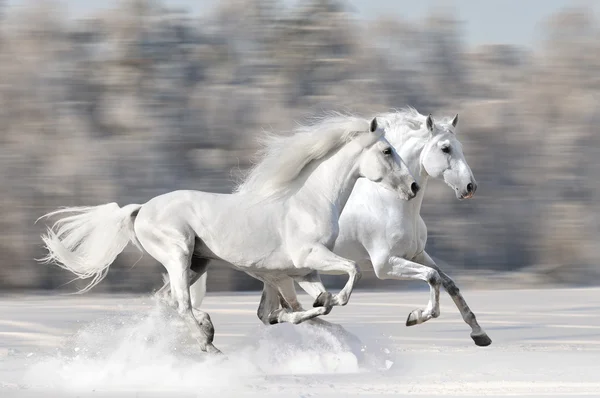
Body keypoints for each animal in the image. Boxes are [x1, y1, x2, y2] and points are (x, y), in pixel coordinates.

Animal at [37, 116, 420, 354]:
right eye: (387, 150)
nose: (414, 186)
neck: (309, 201)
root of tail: (141, 209)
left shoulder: (302, 271)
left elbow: (306, 305)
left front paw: (315, 309)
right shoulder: (308, 259)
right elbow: (348, 276)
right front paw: (333, 302)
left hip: (198, 263)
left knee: (167, 301)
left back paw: (207, 330)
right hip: (178, 254)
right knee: (180, 303)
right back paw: (208, 341)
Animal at [173, 108, 492, 346]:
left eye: (460, 147)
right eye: (446, 148)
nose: (470, 187)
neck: (391, 202)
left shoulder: (416, 254)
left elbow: (448, 283)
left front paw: (480, 334)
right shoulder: (385, 264)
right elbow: (432, 278)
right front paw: (416, 316)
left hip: (269, 274)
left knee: (267, 312)